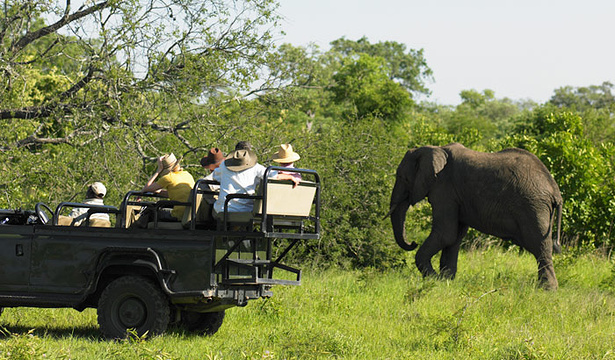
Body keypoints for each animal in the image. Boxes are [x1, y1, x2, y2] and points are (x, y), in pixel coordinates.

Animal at [390, 143, 564, 290]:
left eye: (403, 178)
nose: (413, 242)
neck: (434, 149)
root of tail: (555, 189)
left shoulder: (444, 189)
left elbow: (446, 234)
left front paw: (435, 279)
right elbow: (455, 237)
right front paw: (446, 280)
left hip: (533, 207)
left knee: (540, 246)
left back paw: (547, 290)